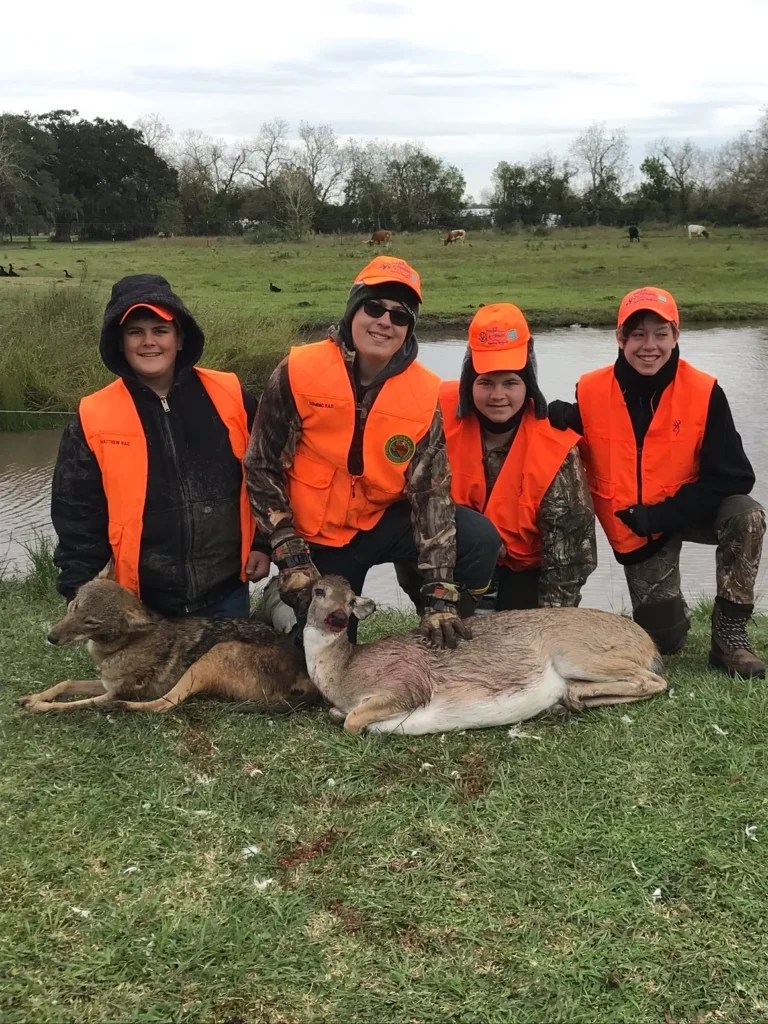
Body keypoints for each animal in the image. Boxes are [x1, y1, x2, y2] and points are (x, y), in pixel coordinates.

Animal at [305, 573, 667, 733]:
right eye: (316, 590)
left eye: (350, 598)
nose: (337, 618)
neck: (345, 673)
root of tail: (647, 641)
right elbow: (338, 715)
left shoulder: (406, 684)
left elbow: (352, 721)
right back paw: (566, 702)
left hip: (578, 653)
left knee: (653, 681)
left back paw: (571, 696)